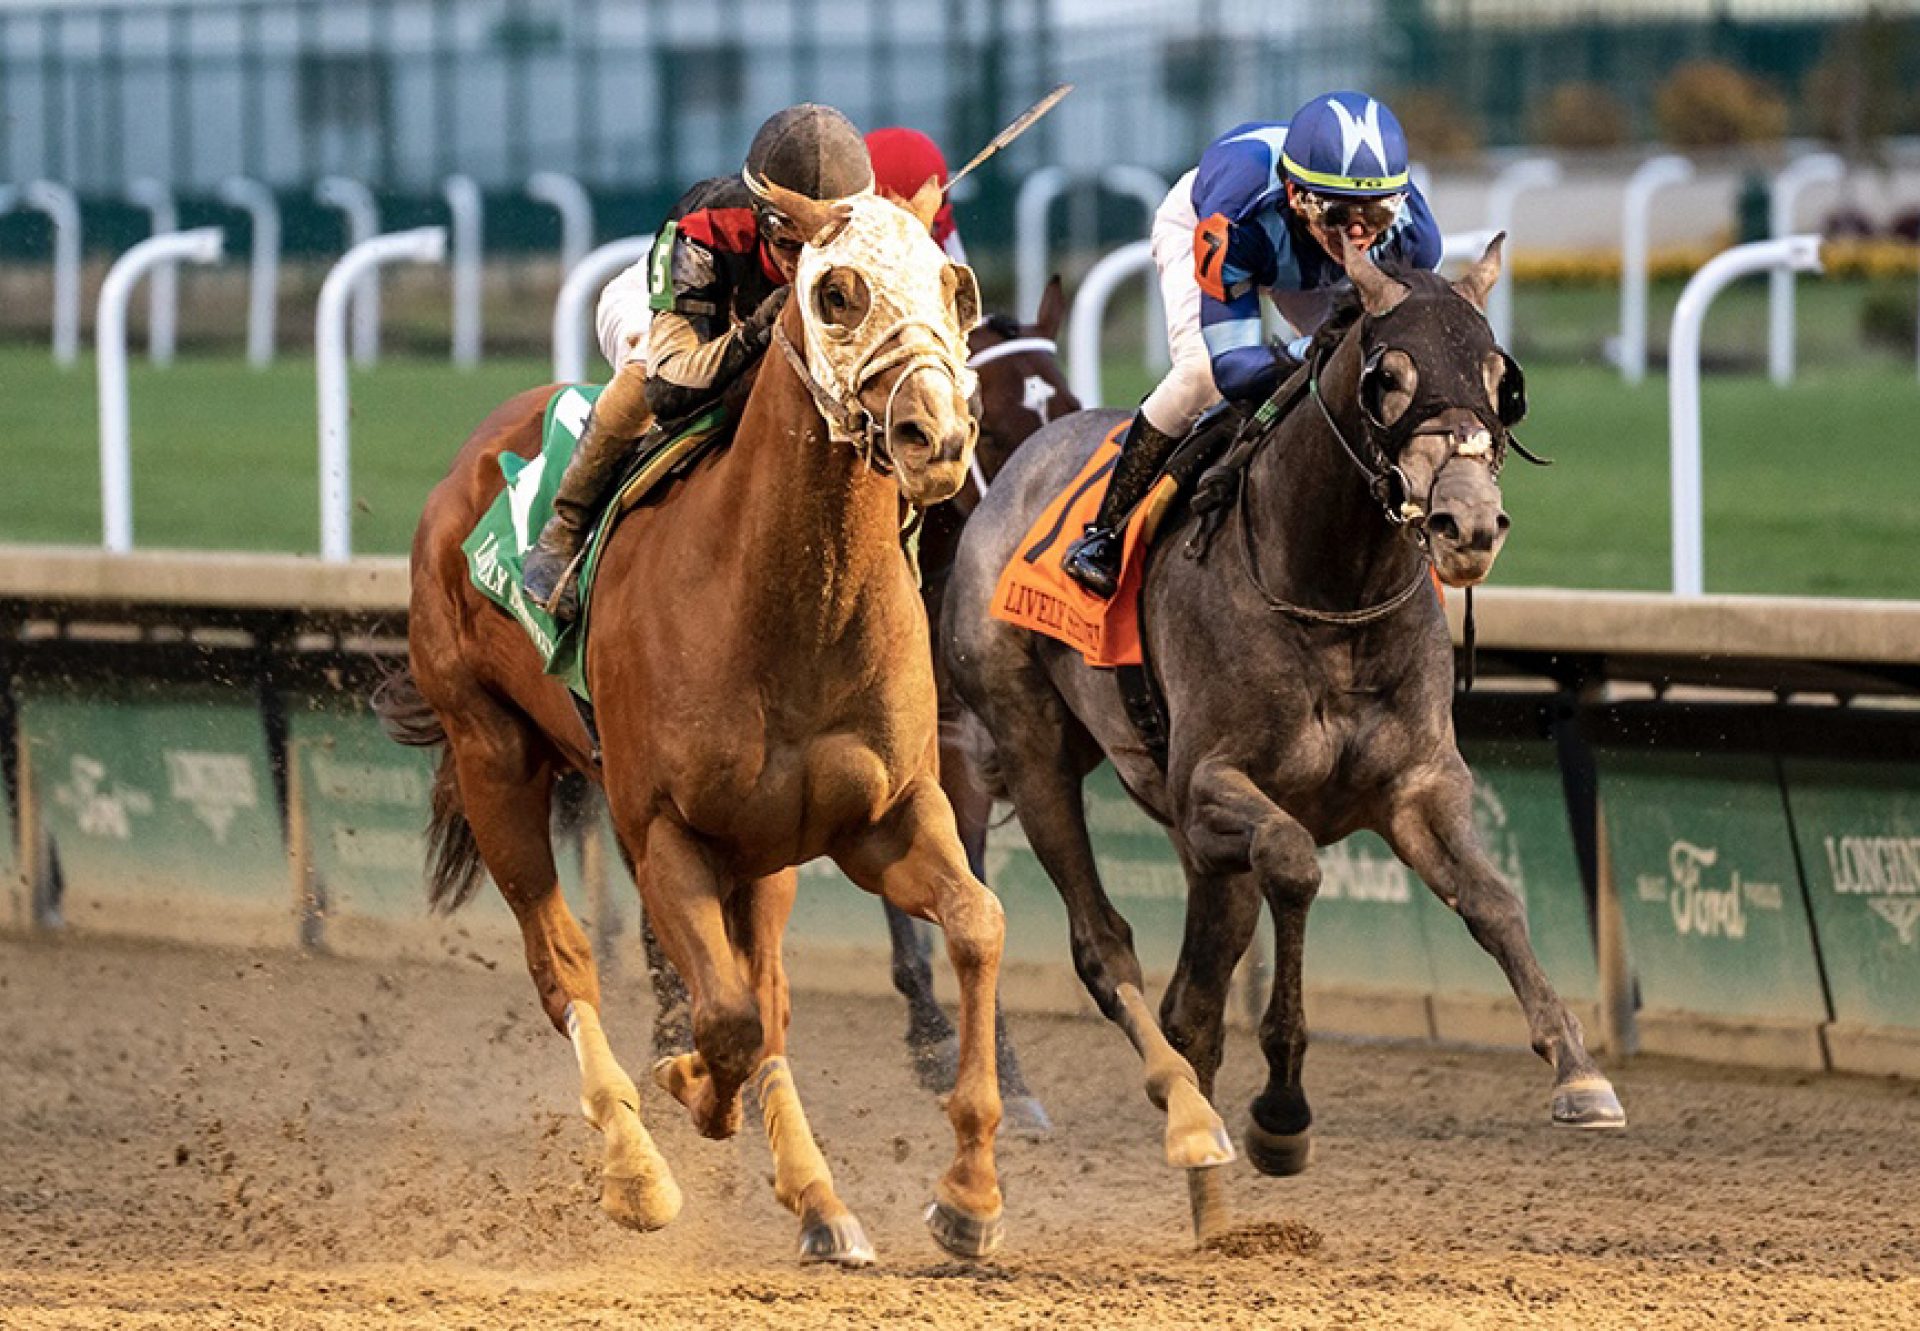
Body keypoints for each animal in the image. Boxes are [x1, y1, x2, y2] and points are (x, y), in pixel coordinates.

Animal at [370, 187, 1006, 1267]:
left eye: (953, 287)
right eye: (836, 293)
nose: (938, 436)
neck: (787, 601)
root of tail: (473, 457)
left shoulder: (880, 815)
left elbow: (973, 925)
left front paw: (968, 1190)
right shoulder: (663, 829)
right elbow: (724, 1020)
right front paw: (684, 1085)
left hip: (764, 846)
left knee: (770, 989)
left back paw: (819, 1198)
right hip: (493, 753)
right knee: (564, 962)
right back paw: (636, 1168)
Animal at [940, 233, 1620, 1244]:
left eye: (1505, 381)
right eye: (1386, 378)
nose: (1466, 524)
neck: (1330, 588)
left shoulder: (1418, 783)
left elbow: (1495, 900)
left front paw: (1580, 1070)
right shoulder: (1210, 786)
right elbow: (1297, 864)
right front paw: (1283, 1110)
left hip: (1194, 848)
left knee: (1192, 1000)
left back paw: (1211, 1203)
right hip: (1034, 748)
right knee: (1106, 948)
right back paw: (1186, 1120)